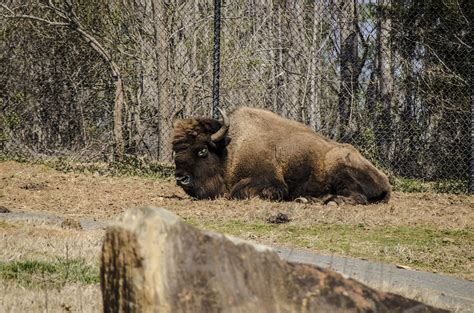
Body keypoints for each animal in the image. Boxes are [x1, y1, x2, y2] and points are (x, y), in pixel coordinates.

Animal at [172, 106, 390, 205]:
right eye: (175, 150)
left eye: (202, 150)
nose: (181, 177)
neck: (229, 149)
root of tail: (385, 180)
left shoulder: (272, 183)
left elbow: (237, 192)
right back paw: (307, 199)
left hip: (341, 170)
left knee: (358, 196)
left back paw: (330, 201)